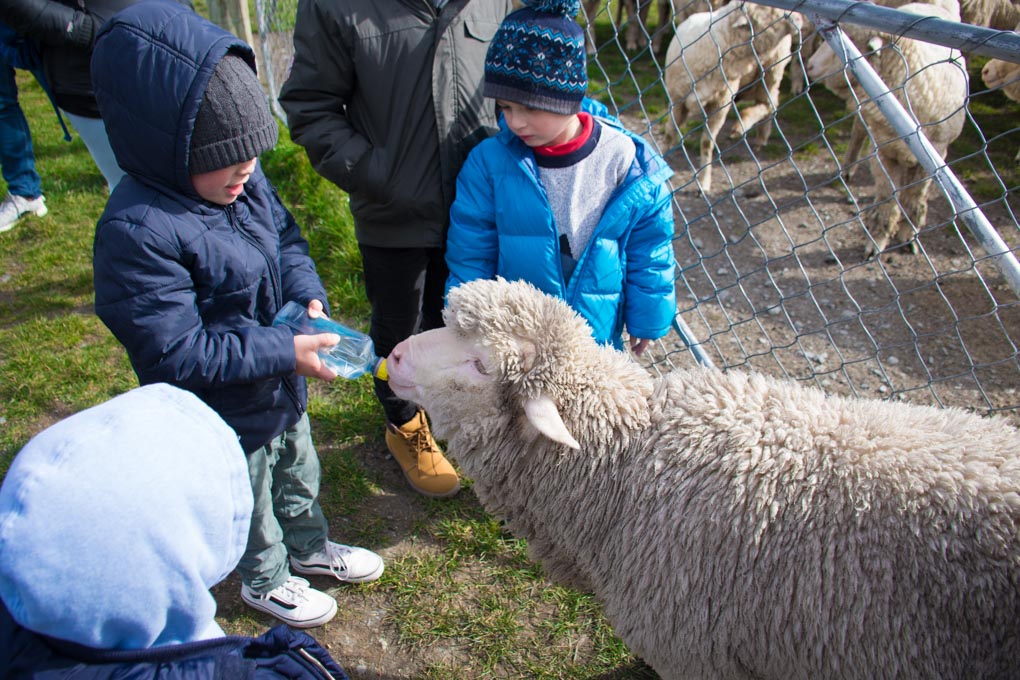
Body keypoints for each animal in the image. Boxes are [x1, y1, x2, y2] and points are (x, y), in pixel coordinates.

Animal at [662, 1, 804, 194]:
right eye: (768, 10)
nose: (800, 19)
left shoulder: (720, 103)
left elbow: (706, 143)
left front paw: (704, 183)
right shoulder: (677, 100)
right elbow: (670, 134)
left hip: (771, 70)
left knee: (770, 104)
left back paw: (745, 125)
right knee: (769, 103)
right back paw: (759, 134)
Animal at [806, 2, 968, 258]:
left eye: (850, 41)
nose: (810, 65)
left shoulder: (936, 157)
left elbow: (914, 195)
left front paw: (908, 233)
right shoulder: (882, 151)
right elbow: (886, 197)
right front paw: (877, 239)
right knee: (858, 130)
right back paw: (847, 168)